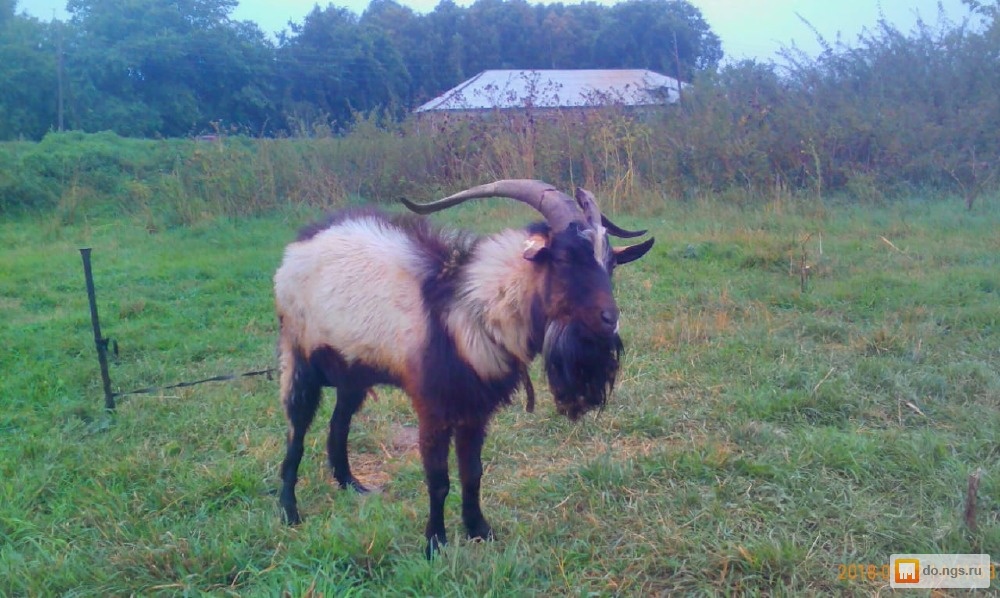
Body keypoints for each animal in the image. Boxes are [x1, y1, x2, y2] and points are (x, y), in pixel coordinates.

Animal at [274, 180, 652, 560]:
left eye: (610, 263)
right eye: (563, 258)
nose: (610, 320)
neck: (470, 311)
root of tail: (299, 245)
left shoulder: (475, 411)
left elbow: (473, 473)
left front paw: (479, 530)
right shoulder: (433, 409)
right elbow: (438, 480)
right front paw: (434, 544)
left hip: (353, 372)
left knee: (338, 424)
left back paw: (352, 487)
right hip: (298, 357)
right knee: (296, 433)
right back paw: (289, 513)